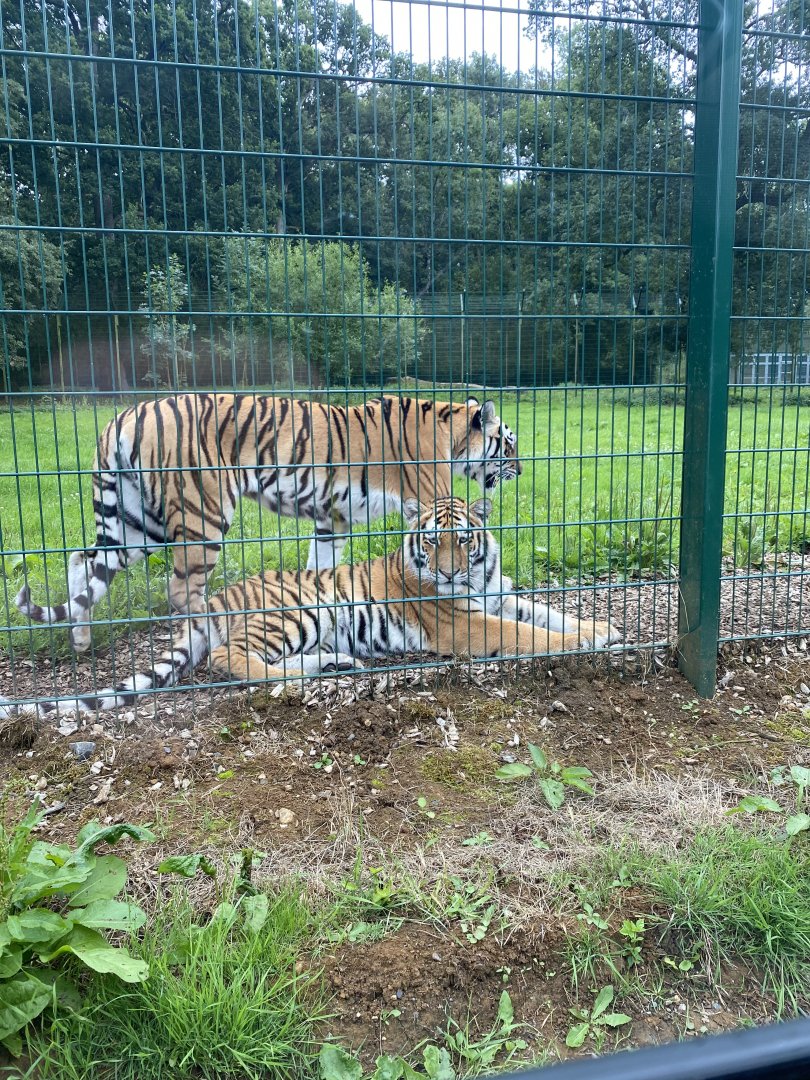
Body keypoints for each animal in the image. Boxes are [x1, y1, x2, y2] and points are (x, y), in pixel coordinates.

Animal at [1, 497, 623, 720]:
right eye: (432, 540)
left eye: (464, 540)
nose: (447, 572)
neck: (477, 576)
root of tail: (218, 597)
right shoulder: (466, 624)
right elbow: (528, 637)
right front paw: (586, 641)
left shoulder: (502, 595)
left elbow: (549, 614)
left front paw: (604, 628)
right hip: (293, 614)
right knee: (230, 660)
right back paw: (307, 675)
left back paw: (333, 665)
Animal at [16, 393, 520, 653]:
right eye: (509, 441)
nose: (520, 467)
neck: (452, 430)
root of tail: (119, 418)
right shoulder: (429, 497)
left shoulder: (332, 519)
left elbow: (321, 572)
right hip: (203, 514)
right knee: (181, 590)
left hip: (136, 522)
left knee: (82, 561)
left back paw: (81, 639)